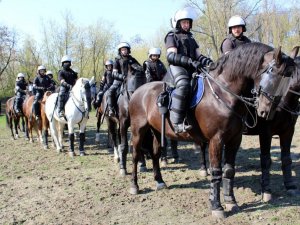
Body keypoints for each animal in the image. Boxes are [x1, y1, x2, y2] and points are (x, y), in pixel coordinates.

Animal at [127, 42, 296, 218]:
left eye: (289, 78)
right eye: (272, 73)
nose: (266, 112)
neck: (224, 92)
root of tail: (139, 91)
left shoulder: (235, 139)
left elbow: (229, 171)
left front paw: (231, 201)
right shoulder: (217, 140)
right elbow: (216, 171)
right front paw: (217, 206)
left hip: (156, 130)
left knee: (154, 154)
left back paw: (159, 181)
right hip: (138, 130)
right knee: (135, 155)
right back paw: (134, 186)